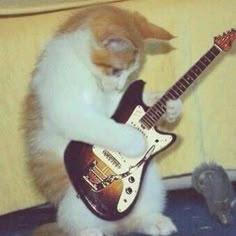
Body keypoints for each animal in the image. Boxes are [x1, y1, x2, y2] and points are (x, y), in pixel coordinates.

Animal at [24, 4, 182, 236]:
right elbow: (101, 126)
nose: (120, 86)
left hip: (148, 182)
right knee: (74, 224)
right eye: (116, 71)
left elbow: (118, 109)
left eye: (130, 73)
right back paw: (88, 231)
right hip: (73, 203)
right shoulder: (67, 109)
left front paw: (167, 106)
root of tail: (114, 223)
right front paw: (136, 140)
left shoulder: (109, 103)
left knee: (135, 217)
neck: (81, 65)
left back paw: (151, 220)